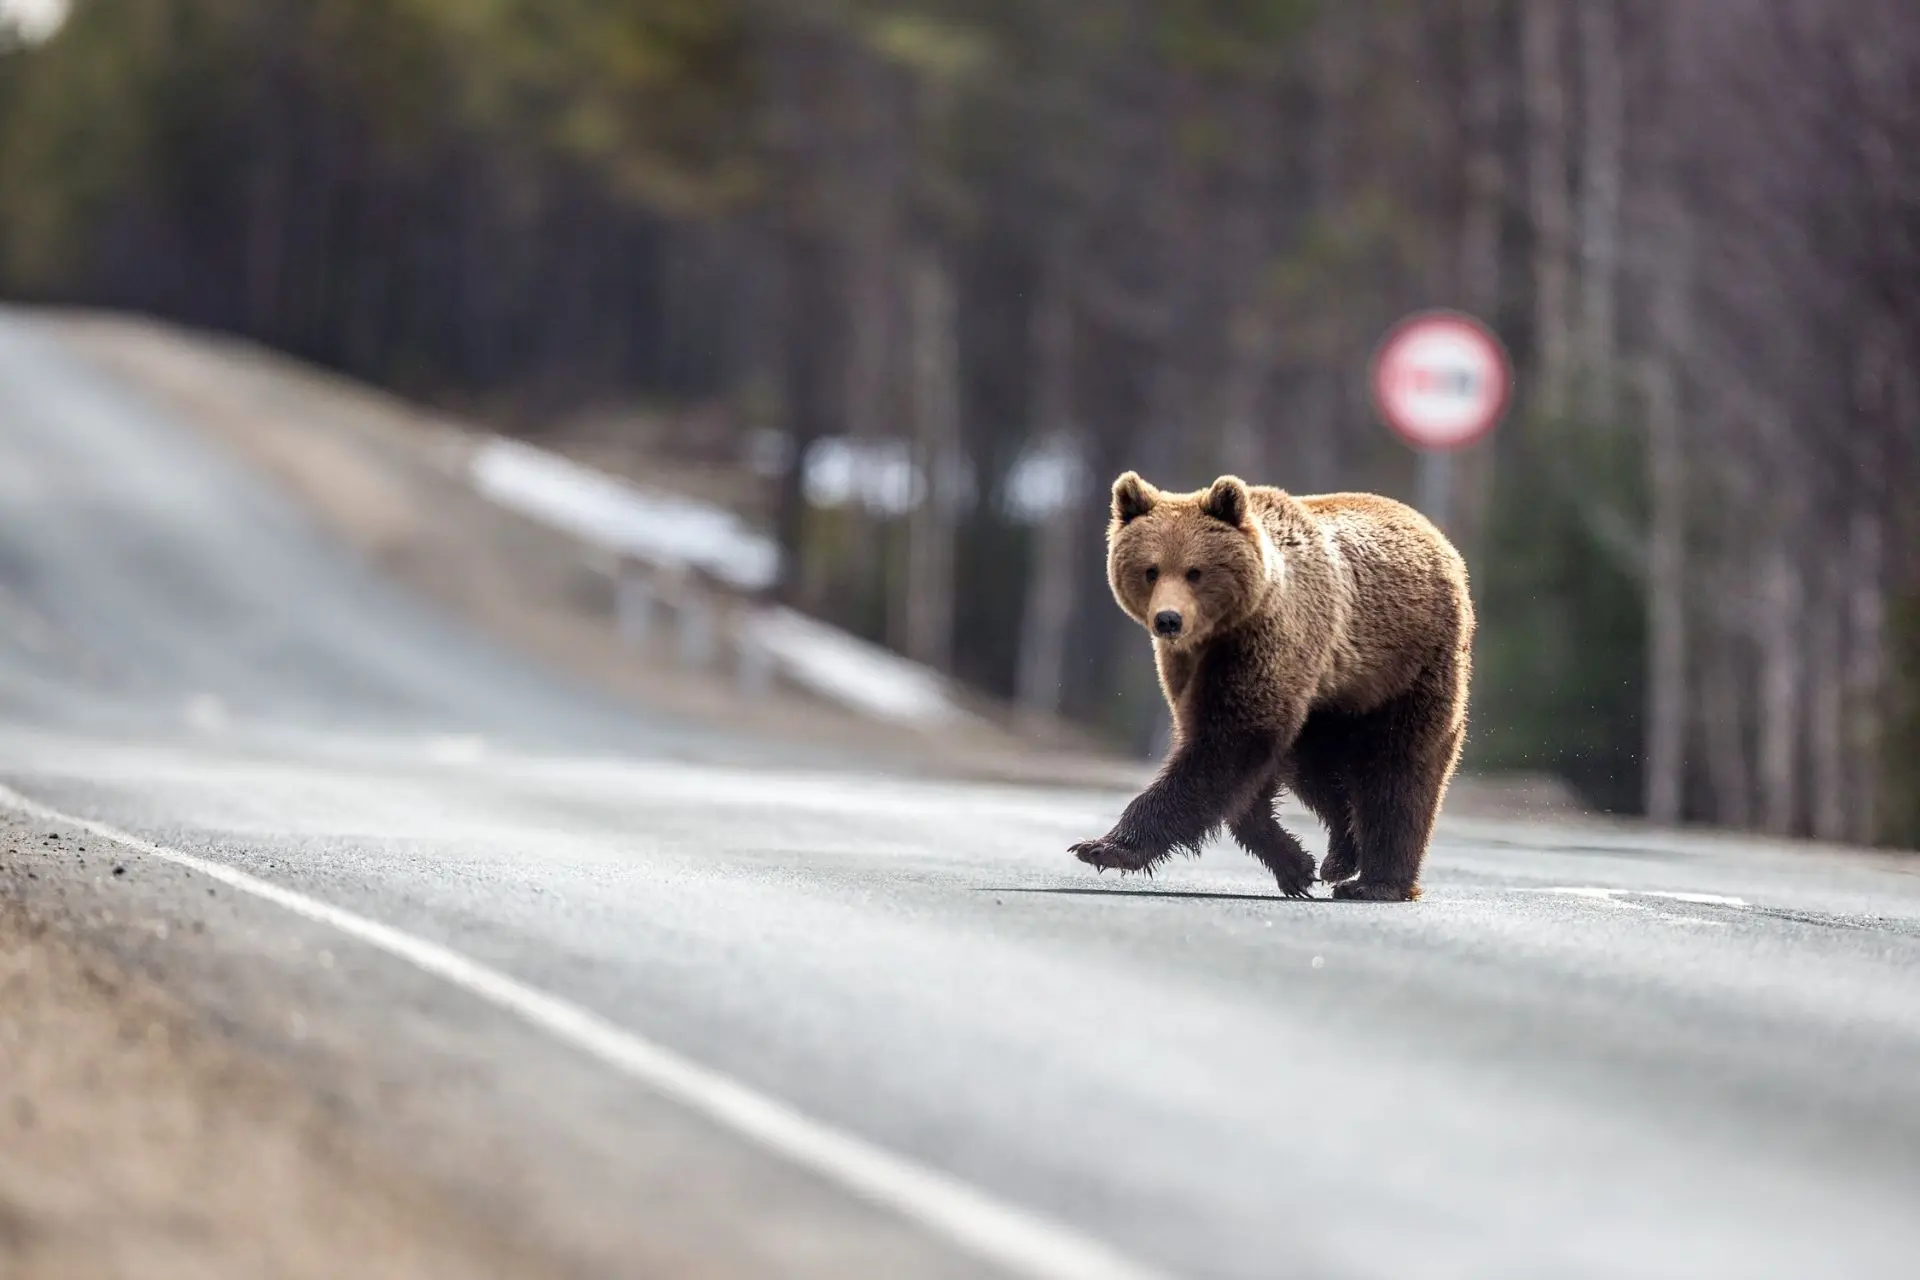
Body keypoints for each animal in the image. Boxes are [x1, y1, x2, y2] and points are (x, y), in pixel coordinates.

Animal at [1068, 471, 1475, 901]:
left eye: (1195, 571)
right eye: (1151, 570)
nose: (1168, 620)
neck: (1224, 629)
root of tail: (1438, 537)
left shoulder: (1270, 640)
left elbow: (1228, 745)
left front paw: (1103, 847)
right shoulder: (1191, 665)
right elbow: (1240, 768)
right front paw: (1296, 865)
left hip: (1408, 664)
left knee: (1399, 767)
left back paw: (1376, 882)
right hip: (1330, 698)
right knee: (1315, 768)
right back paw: (1341, 855)